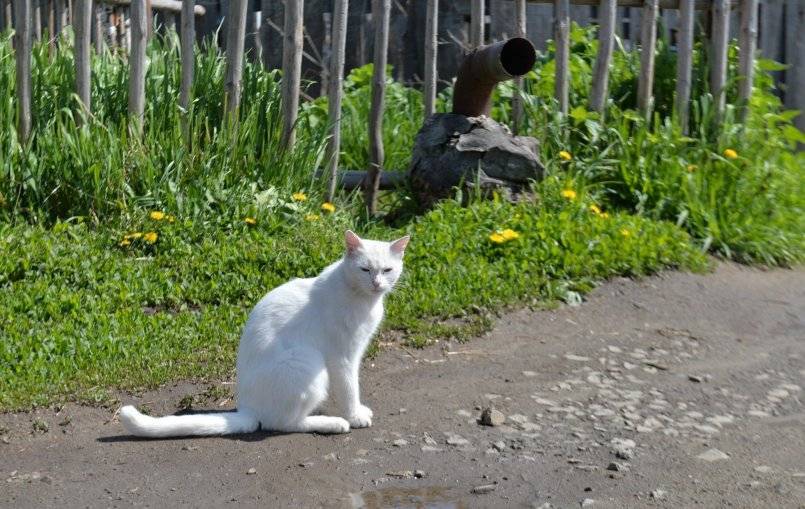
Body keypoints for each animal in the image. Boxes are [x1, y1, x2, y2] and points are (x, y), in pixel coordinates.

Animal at [118, 230, 410, 437]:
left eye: (387, 270)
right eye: (365, 269)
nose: (377, 283)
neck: (363, 299)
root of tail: (247, 407)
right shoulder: (343, 357)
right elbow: (350, 388)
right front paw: (354, 415)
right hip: (306, 361)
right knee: (282, 424)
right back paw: (332, 423)